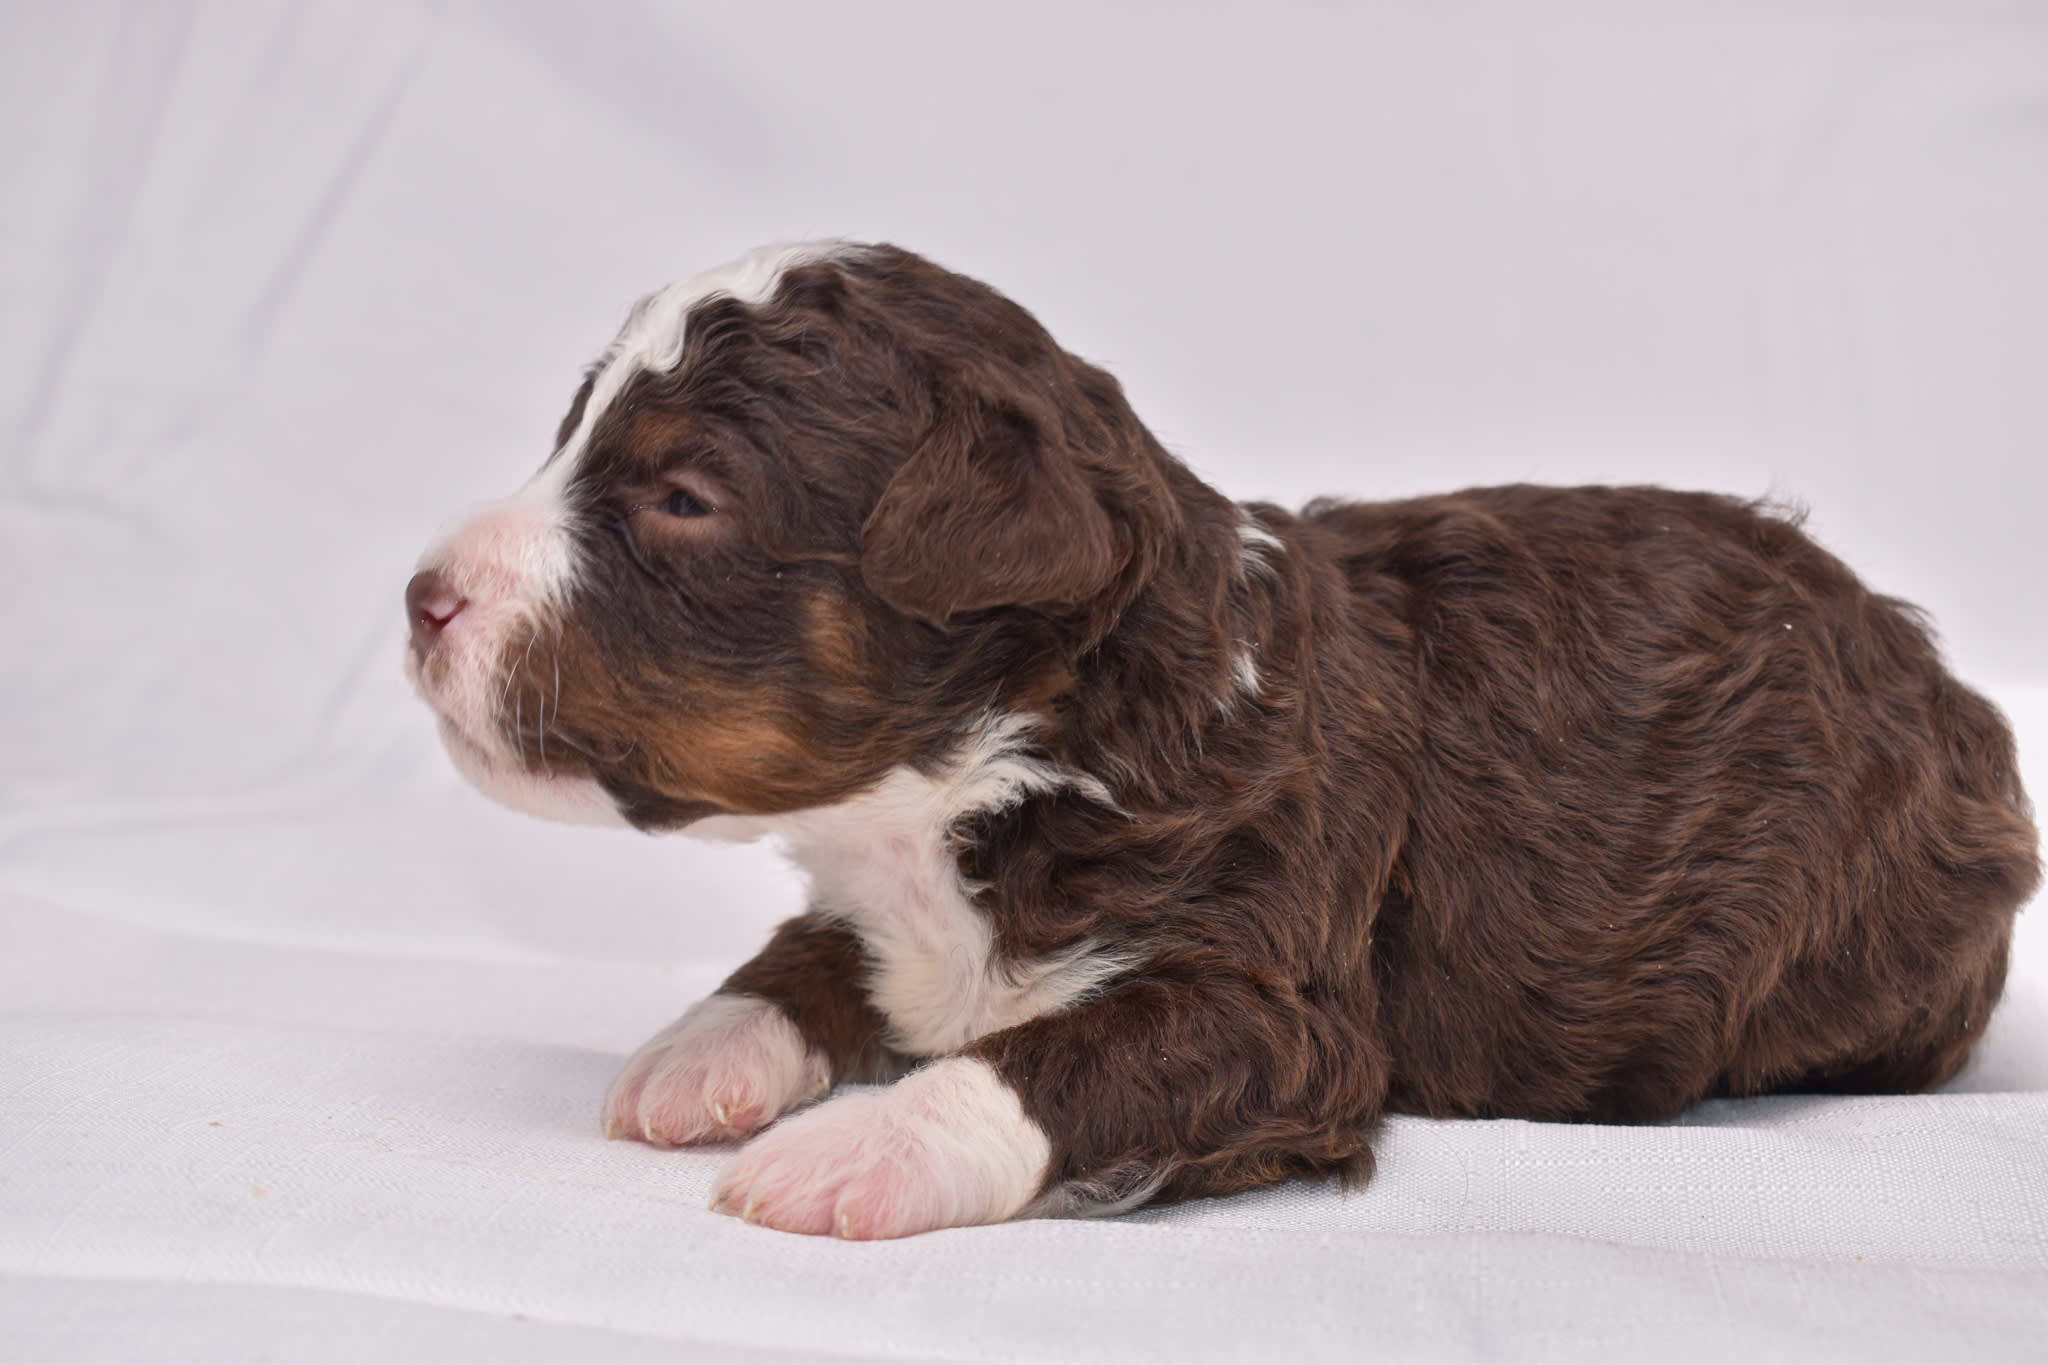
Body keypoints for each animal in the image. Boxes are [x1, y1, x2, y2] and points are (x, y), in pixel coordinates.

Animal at [407, 242, 2039, 1236]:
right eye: (572, 439)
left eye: (684, 496)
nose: (422, 598)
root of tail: (1938, 683)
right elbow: (821, 948)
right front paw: (698, 1049)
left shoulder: (1283, 1002)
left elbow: (1056, 1055)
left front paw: (849, 1153)